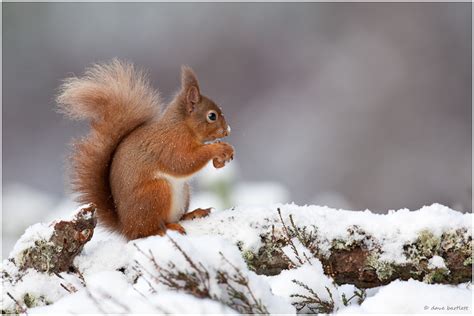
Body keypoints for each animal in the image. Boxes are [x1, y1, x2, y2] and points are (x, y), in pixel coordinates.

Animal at [56, 59, 234, 239]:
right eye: (212, 116)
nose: (227, 131)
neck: (182, 126)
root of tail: (125, 227)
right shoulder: (169, 145)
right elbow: (182, 162)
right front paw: (218, 149)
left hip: (183, 194)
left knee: (177, 217)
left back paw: (193, 213)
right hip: (156, 193)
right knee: (145, 231)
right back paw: (166, 228)